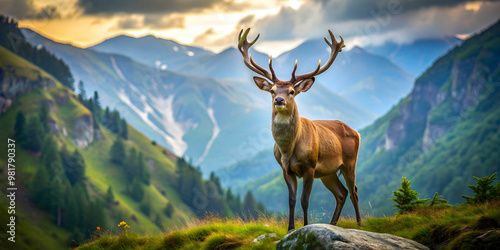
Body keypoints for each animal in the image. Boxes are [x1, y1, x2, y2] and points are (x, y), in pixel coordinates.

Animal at [237, 28, 360, 231]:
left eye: (292, 91)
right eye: (272, 90)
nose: (279, 100)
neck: (289, 150)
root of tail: (356, 132)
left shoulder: (310, 166)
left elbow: (305, 200)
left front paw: (306, 226)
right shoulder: (285, 169)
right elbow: (292, 200)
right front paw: (290, 229)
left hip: (350, 162)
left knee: (354, 191)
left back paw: (358, 224)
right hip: (328, 172)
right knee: (341, 193)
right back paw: (332, 223)